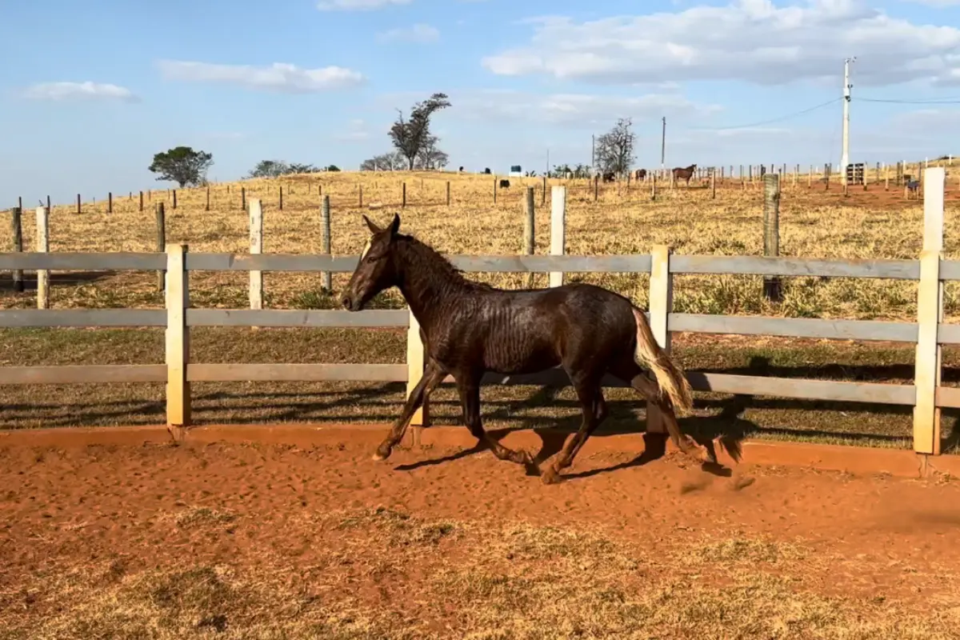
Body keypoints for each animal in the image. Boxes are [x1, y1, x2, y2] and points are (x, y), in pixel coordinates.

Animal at [339, 213, 715, 484]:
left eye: (373, 257)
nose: (347, 300)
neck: (449, 306)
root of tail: (627, 305)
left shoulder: (466, 371)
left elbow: (473, 423)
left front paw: (522, 459)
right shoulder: (439, 365)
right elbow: (414, 399)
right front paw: (383, 449)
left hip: (583, 370)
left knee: (595, 412)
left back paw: (555, 468)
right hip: (620, 363)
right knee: (657, 393)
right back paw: (693, 450)